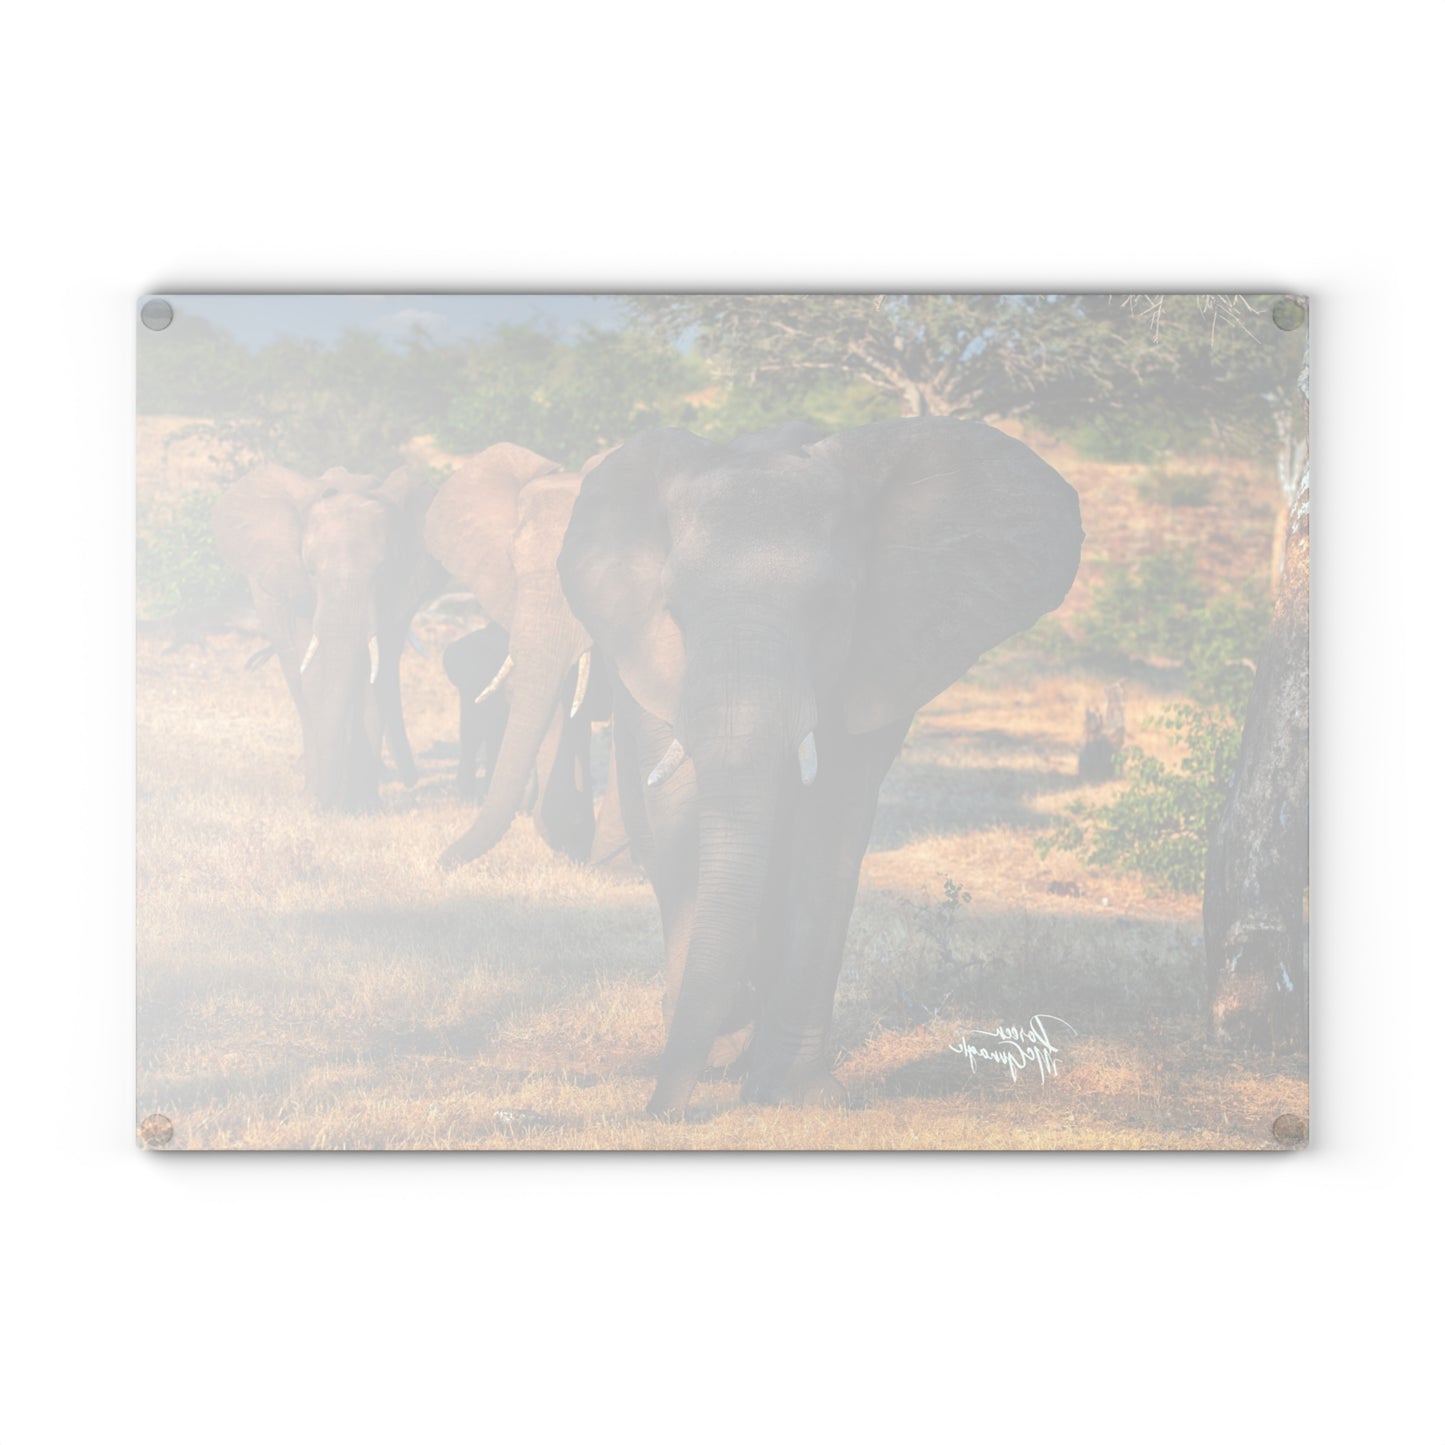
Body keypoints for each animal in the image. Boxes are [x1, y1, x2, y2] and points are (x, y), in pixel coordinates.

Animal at [213, 462, 436, 811]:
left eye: (382, 570)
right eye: (311, 571)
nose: (412, 781)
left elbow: (372, 676)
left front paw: (363, 809)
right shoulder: (301, 594)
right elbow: (318, 676)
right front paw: (329, 803)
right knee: (296, 677)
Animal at [558, 417, 1084, 1116]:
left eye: (830, 605)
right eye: (675, 610)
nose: (657, 1114)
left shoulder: (879, 657)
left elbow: (830, 827)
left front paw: (799, 1095)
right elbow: (681, 810)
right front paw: (729, 1030)